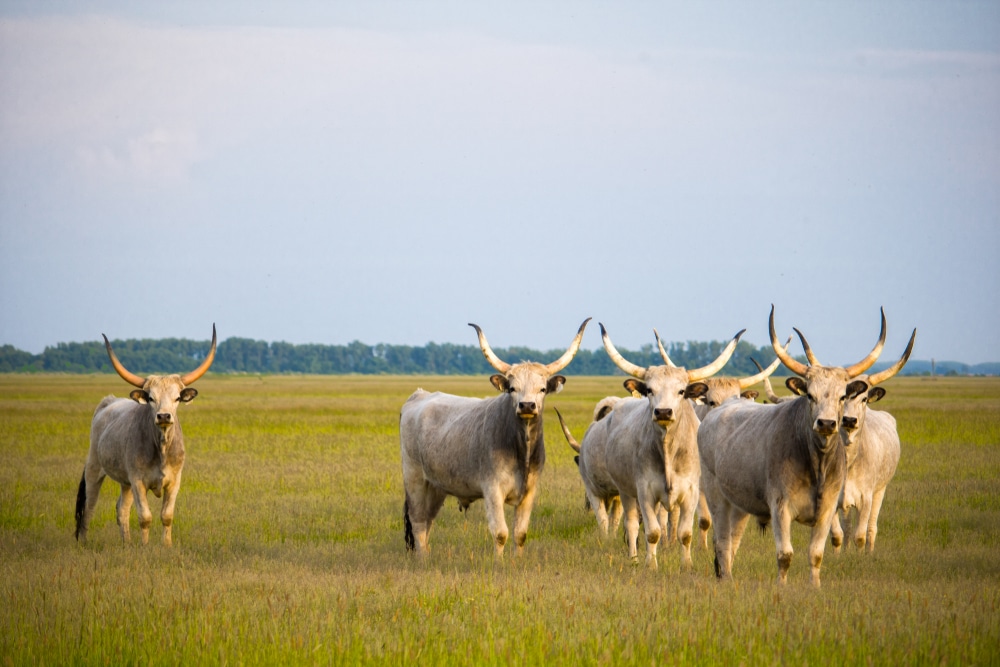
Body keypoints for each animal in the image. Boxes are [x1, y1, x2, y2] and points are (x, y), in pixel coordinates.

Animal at [75, 324, 220, 548]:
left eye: (177, 398)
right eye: (151, 398)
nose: (164, 416)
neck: (161, 448)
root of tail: (108, 401)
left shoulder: (174, 481)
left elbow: (166, 515)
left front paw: (166, 545)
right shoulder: (138, 481)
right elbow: (145, 517)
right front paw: (144, 546)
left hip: (124, 482)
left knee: (121, 509)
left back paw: (126, 542)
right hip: (94, 468)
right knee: (89, 507)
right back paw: (83, 541)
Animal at [398, 318, 588, 560]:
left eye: (543, 389)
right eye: (512, 388)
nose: (527, 405)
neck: (521, 450)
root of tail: (419, 395)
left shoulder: (530, 492)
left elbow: (520, 533)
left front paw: (517, 562)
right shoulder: (492, 490)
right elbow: (500, 533)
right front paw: (498, 563)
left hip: (436, 486)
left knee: (427, 521)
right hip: (414, 479)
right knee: (418, 521)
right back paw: (423, 560)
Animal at [584, 324, 744, 568]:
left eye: (681, 391)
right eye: (649, 390)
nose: (663, 412)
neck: (669, 449)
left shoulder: (691, 493)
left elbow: (685, 533)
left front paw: (686, 565)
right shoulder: (645, 492)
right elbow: (652, 532)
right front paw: (650, 565)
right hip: (626, 491)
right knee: (631, 524)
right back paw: (634, 557)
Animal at [700, 306, 888, 588]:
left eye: (843, 396)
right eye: (810, 395)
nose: (826, 423)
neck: (817, 463)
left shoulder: (828, 509)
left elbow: (816, 553)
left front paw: (815, 587)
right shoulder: (781, 507)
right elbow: (785, 554)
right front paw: (782, 587)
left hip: (739, 504)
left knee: (732, 540)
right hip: (716, 495)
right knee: (721, 540)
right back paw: (727, 579)